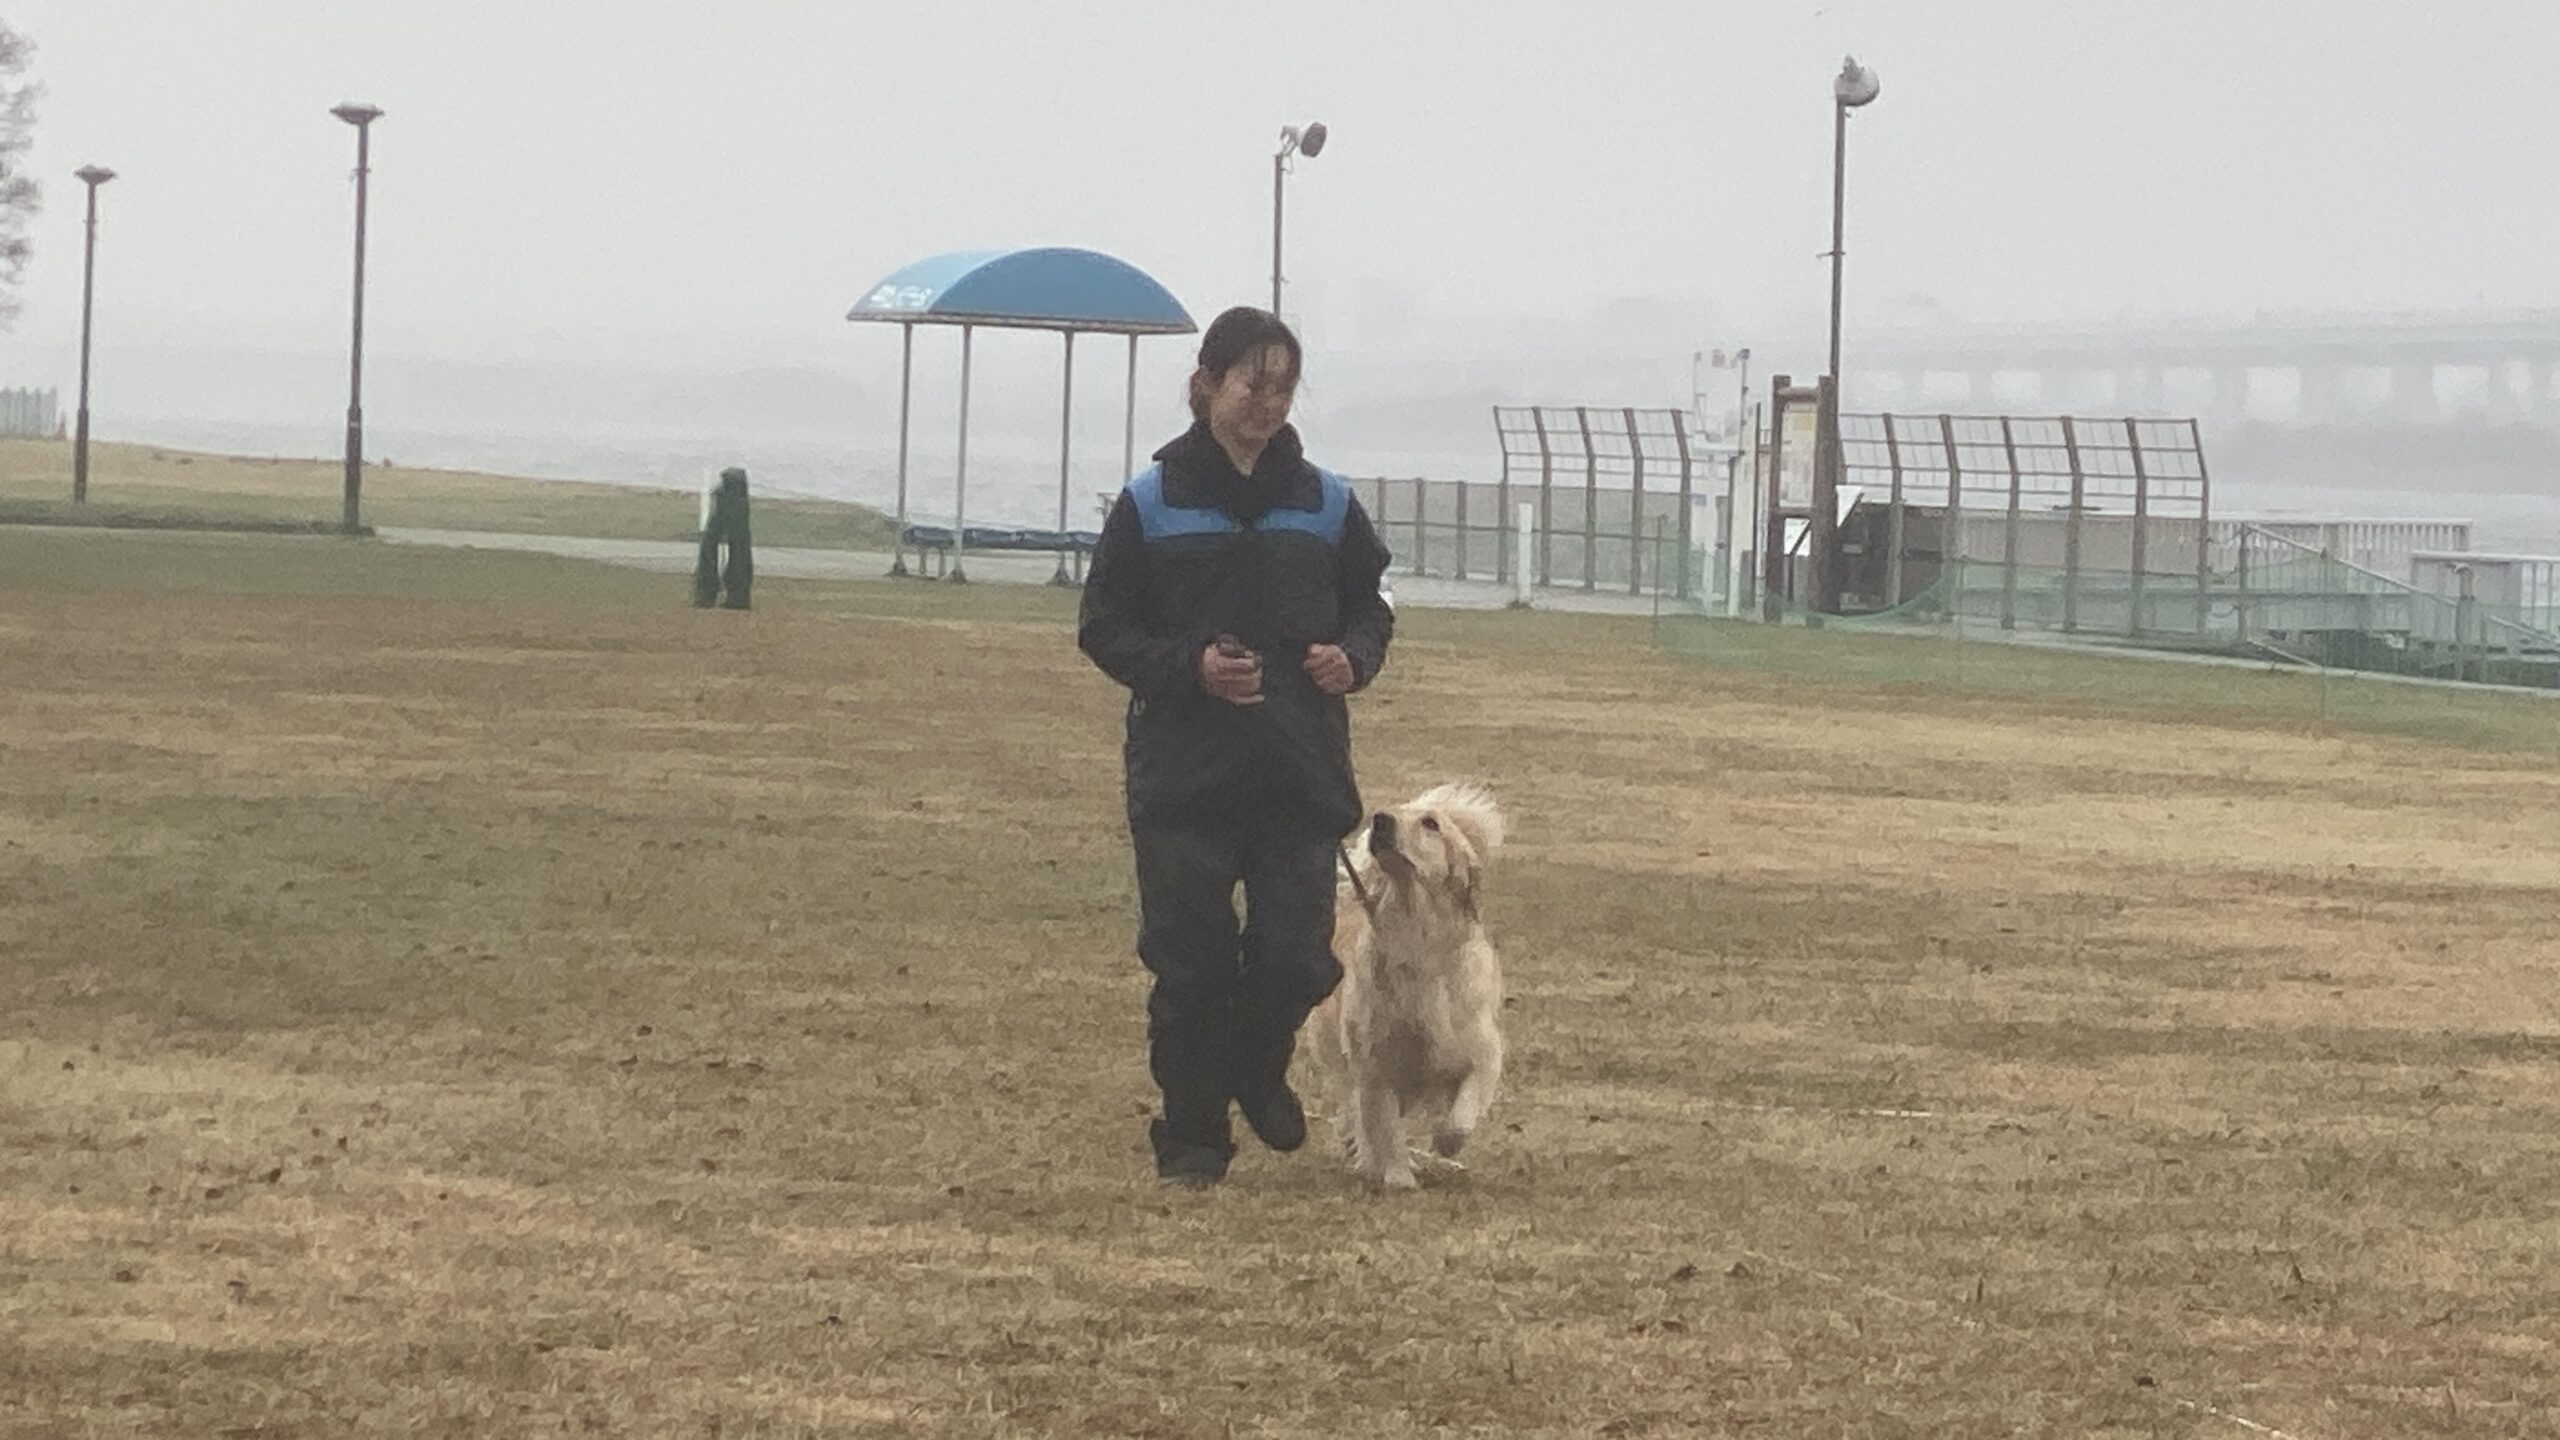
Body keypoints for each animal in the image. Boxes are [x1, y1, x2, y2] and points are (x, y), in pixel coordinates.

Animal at [1308, 782, 1508, 1191]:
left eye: (1431, 823)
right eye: (1392, 812)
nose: (1380, 820)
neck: (1419, 943)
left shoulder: (1483, 1049)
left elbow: (1463, 1111)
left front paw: (1446, 1144)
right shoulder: (1375, 1064)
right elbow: (1384, 1126)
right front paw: (1398, 1175)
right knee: (1355, 1111)